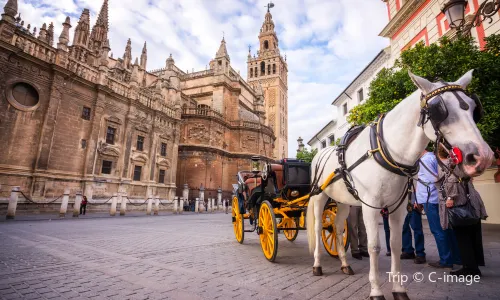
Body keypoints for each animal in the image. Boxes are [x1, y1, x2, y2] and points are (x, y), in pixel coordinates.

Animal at [304, 70, 492, 300]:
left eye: (473, 107)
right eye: (439, 109)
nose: (482, 156)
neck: (387, 152)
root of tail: (320, 154)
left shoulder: (398, 207)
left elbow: (394, 244)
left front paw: (399, 289)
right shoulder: (370, 206)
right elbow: (374, 246)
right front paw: (376, 290)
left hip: (343, 201)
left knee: (338, 228)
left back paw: (344, 264)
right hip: (320, 196)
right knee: (317, 227)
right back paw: (317, 265)